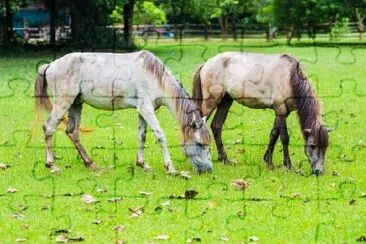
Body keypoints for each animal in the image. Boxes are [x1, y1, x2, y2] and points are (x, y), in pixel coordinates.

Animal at [35, 51, 212, 173]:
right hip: (63, 103)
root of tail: (50, 65)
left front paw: (143, 164)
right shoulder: (147, 109)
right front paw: (170, 167)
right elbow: (160, 135)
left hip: (76, 104)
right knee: (49, 128)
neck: (154, 76)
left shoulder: (142, 111)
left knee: (72, 132)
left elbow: (142, 136)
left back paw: (91, 164)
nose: (208, 170)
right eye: (199, 144)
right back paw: (52, 165)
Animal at [193, 51, 330, 175]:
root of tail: (206, 64)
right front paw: (288, 165)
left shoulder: (283, 113)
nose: (319, 172)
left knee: (216, 126)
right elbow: (284, 137)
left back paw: (224, 159)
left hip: (225, 101)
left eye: (326, 146)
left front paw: (268, 162)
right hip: (211, 102)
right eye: (312, 145)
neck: (288, 77)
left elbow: (274, 134)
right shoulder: (280, 109)